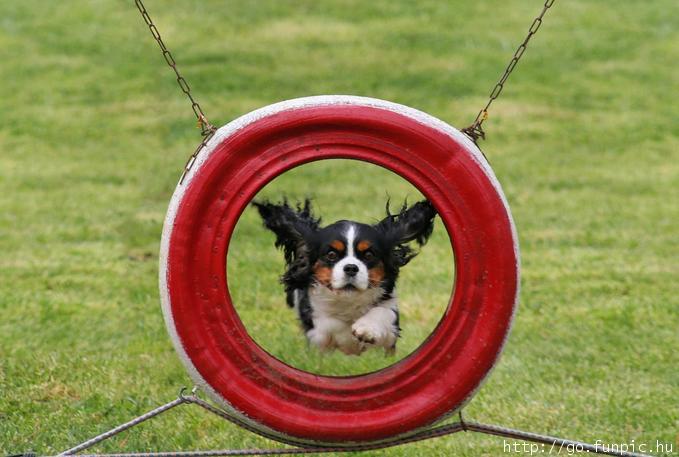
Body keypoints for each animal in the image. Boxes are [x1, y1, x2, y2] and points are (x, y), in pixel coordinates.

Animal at [253, 198, 437, 355]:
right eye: (331, 254)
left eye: (369, 255)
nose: (351, 268)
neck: (348, 300)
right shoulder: (316, 329)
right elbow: (329, 324)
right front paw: (346, 335)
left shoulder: (390, 331)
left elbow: (383, 312)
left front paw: (366, 329)